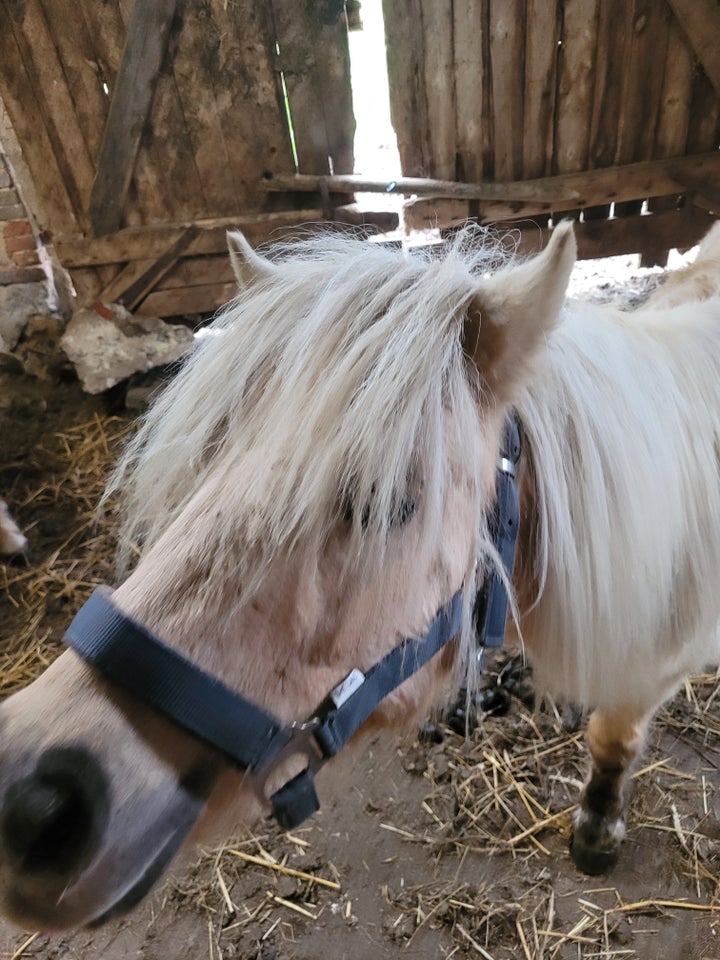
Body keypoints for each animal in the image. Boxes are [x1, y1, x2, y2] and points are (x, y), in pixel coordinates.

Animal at [1, 221, 720, 932]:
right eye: (208, 460)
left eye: (387, 503)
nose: (31, 802)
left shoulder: (651, 667)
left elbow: (613, 738)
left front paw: (597, 828)